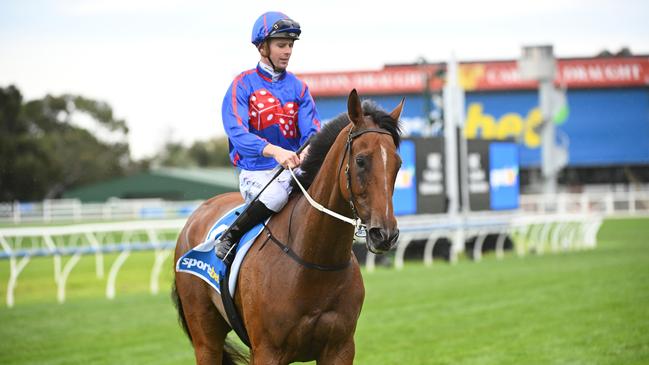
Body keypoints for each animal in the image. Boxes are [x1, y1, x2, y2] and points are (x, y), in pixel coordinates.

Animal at [171, 89, 400, 364]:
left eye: (398, 163)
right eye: (361, 160)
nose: (384, 234)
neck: (315, 263)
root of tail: (198, 213)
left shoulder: (340, 348)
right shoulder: (267, 351)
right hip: (206, 338)